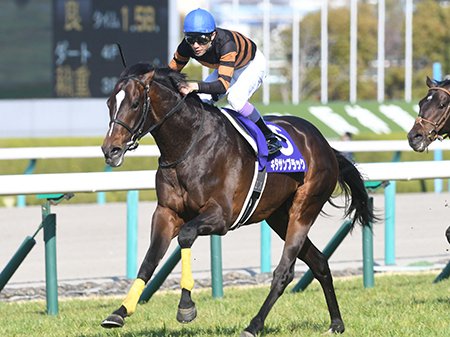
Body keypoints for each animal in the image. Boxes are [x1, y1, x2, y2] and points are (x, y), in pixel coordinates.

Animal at [100, 61, 374, 334]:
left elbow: (186, 236)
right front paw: (120, 311)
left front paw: (186, 306)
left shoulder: (222, 216)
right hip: (279, 217)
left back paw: (254, 325)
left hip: (305, 208)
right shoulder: (166, 212)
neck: (188, 145)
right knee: (319, 262)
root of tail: (323, 143)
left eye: (135, 103)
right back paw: (336, 323)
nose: (110, 150)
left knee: (284, 271)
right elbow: (149, 260)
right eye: (109, 102)